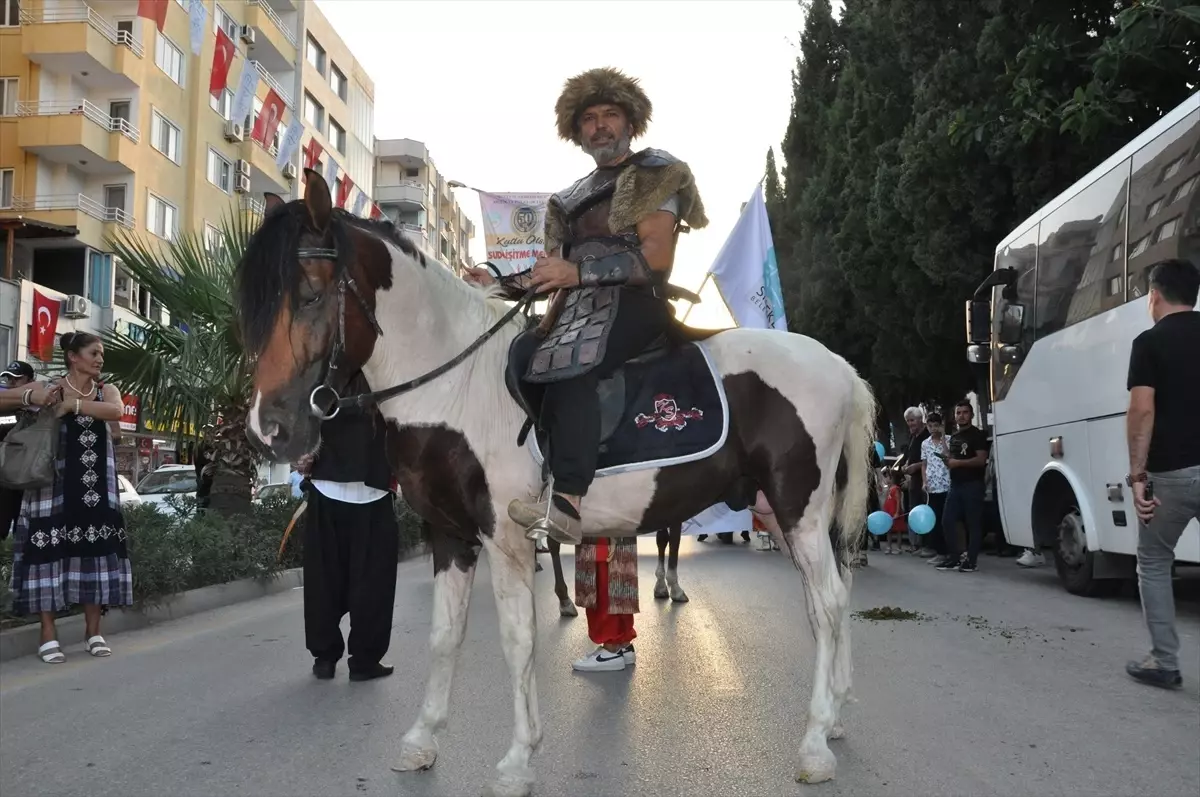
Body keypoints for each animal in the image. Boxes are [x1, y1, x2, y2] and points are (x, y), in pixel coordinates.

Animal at [241, 174, 883, 797]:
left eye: (312, 293)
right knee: (827, 601)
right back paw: (835, 716)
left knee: (828, 602)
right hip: (786, 511)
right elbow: (444, 636)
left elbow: (518, 640)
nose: (268, 427)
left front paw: (518, 760)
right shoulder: (450, 536)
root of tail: (841, 368)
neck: (456, 389)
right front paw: (422, 741)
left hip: (799, 507)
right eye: (259, 305)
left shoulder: (504, 539)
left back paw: (815, 745)